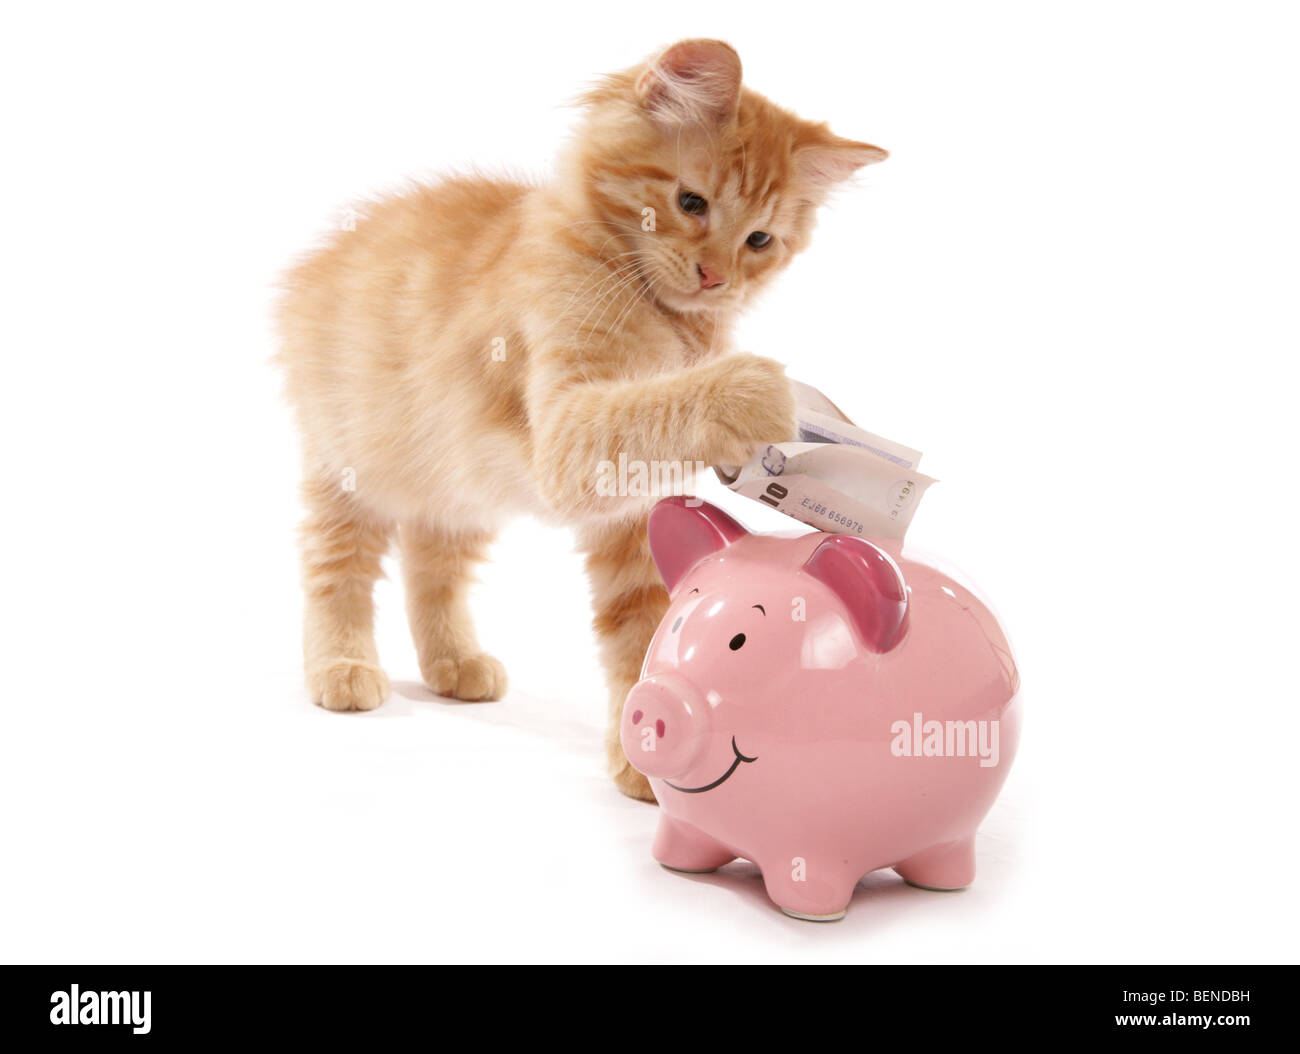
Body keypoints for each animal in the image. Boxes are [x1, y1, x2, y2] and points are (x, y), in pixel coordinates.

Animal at [274, 39, 883, 800]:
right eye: (691, 203)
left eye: (760, 241)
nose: (716, 277)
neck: (665, 321)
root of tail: (320, 260)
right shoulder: (565, 434)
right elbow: (655, 405)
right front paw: (753, 393)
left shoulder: (630, 509)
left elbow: (644, 626)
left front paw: (648, 755)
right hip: (350, 466)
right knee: (337, 566)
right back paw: (342, 665)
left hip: (463, 487)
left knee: (431, 564)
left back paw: (454, 661)